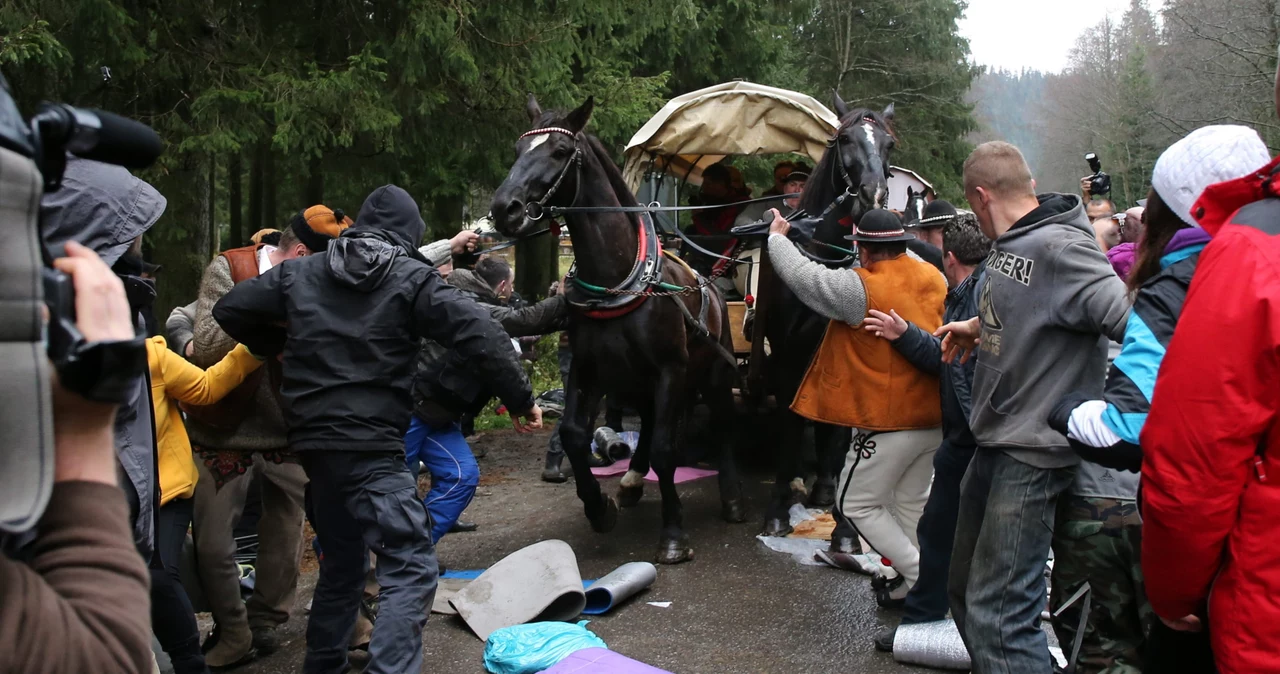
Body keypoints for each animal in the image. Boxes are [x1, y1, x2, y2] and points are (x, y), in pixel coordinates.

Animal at [494, 94, 747, 565]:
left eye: (560, 151)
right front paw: (599, 508)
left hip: (713, 373)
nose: (505, 208)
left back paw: (733, 498)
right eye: (518, 150)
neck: (617, 279)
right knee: (647, 424)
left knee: (723, 425)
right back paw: (630, 481)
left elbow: (666, 450)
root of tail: (711, 284)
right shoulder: (588, 370)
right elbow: (574, 434)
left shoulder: (670, 370)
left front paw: (673, 534)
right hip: (641, 381)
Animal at [752, 94, 896, 537]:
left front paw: (845, 524)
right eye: (844, 138)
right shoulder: (785, 353)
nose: (873, 195)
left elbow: (840, 429)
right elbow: (789, 420)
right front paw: (778, 509)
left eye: (890, 144)